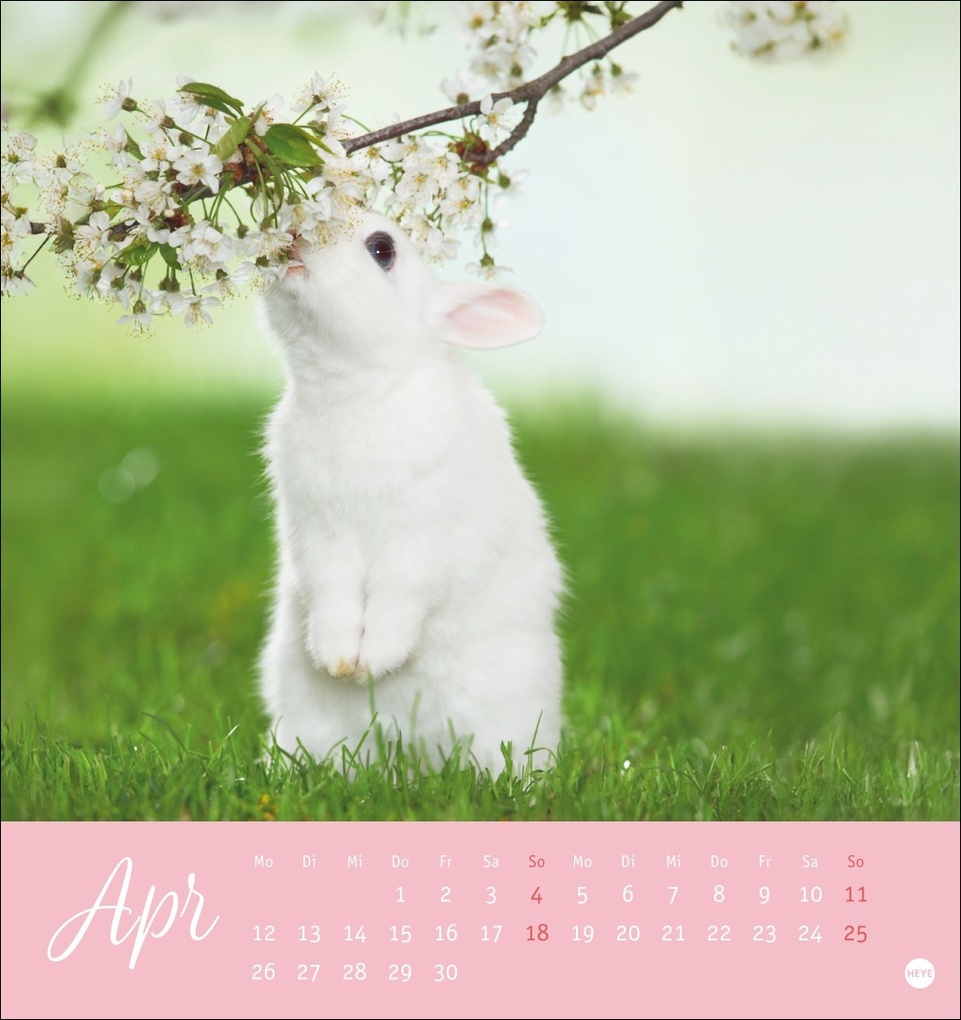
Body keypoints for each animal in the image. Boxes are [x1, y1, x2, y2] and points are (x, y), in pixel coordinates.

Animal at [258, 209, 563, 774]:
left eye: (383, 249)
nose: (292, 233)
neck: (356, 387)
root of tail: (413, 748)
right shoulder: (318, 535)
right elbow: (332, 594)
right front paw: (339, 660)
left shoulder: (420, 539)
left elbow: (399, 596)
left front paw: (372, 662)